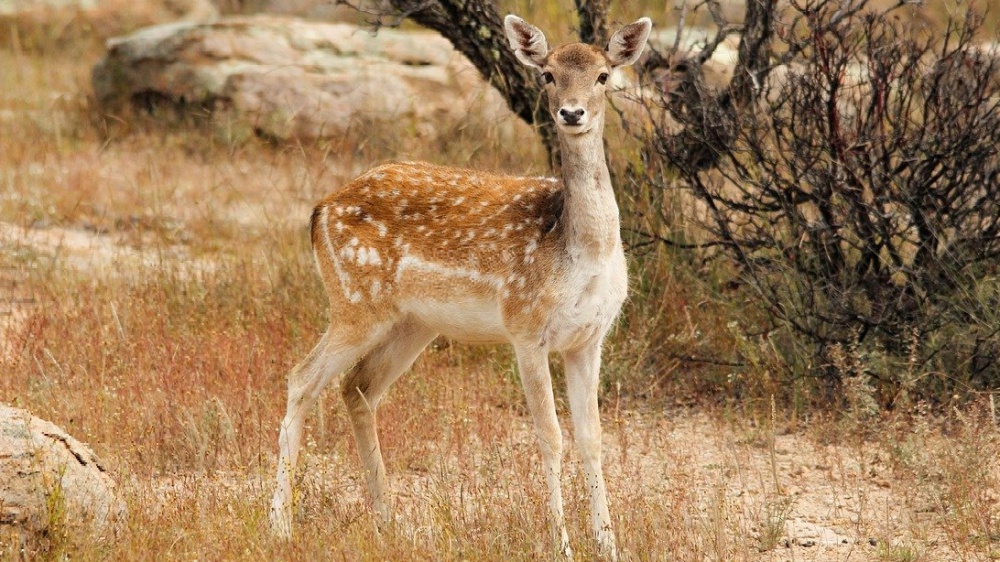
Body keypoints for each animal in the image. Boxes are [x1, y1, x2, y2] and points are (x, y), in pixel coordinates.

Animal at [270, 14, 652, 560]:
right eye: (548, 75)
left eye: (604, 76)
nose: (572, 112)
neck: (578, 251)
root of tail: (320, 209)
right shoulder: (525, 326)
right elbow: (550, 435)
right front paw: (561, 544)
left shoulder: (589, 338)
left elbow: (592, 438)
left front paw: (608, 545)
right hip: (354, 301)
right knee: (301, 378)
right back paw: (280, 525)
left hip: (412, 323)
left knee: (358, 387)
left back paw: (388, 521)